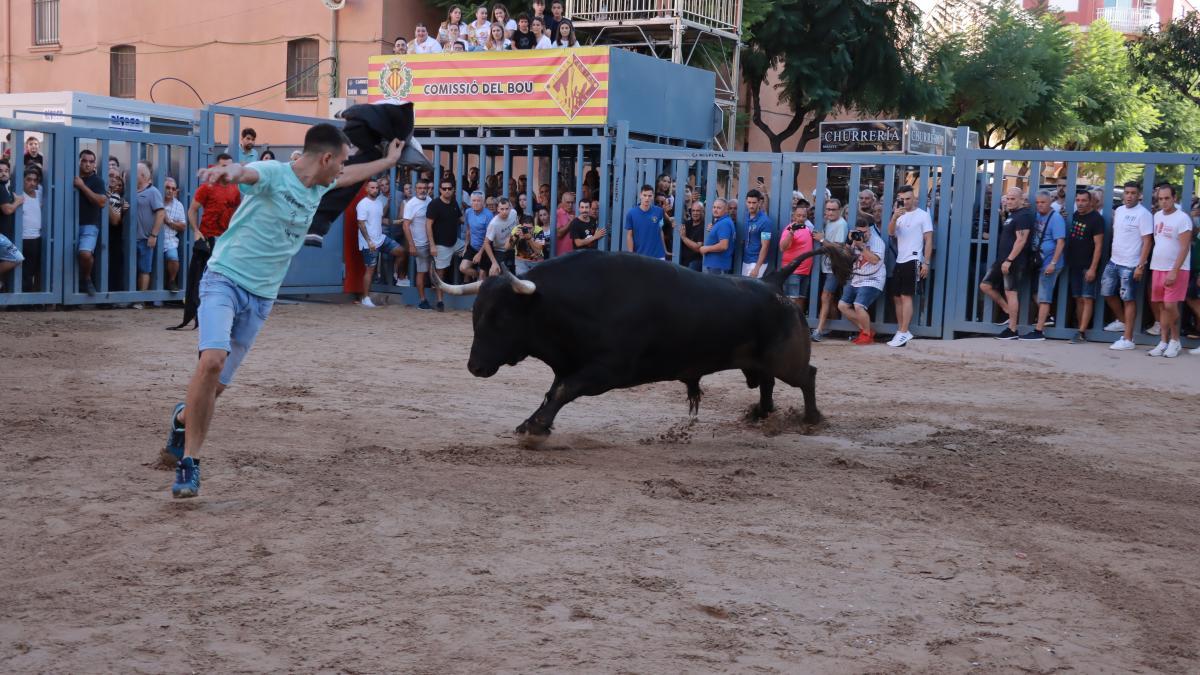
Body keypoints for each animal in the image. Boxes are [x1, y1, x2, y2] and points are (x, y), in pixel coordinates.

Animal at [432, 243, 854, 439]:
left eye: (501, 318)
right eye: (475, 316)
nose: (475, 366)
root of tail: (774, 282)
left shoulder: (606, 371)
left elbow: (563, 391)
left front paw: (536, 427)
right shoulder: (571, 364)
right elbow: (554, 391)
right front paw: (532, 423)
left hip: (788, 361)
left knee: (807, 376)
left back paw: (812, 419)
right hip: (758, 361)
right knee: (765, 382)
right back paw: (761, 414)